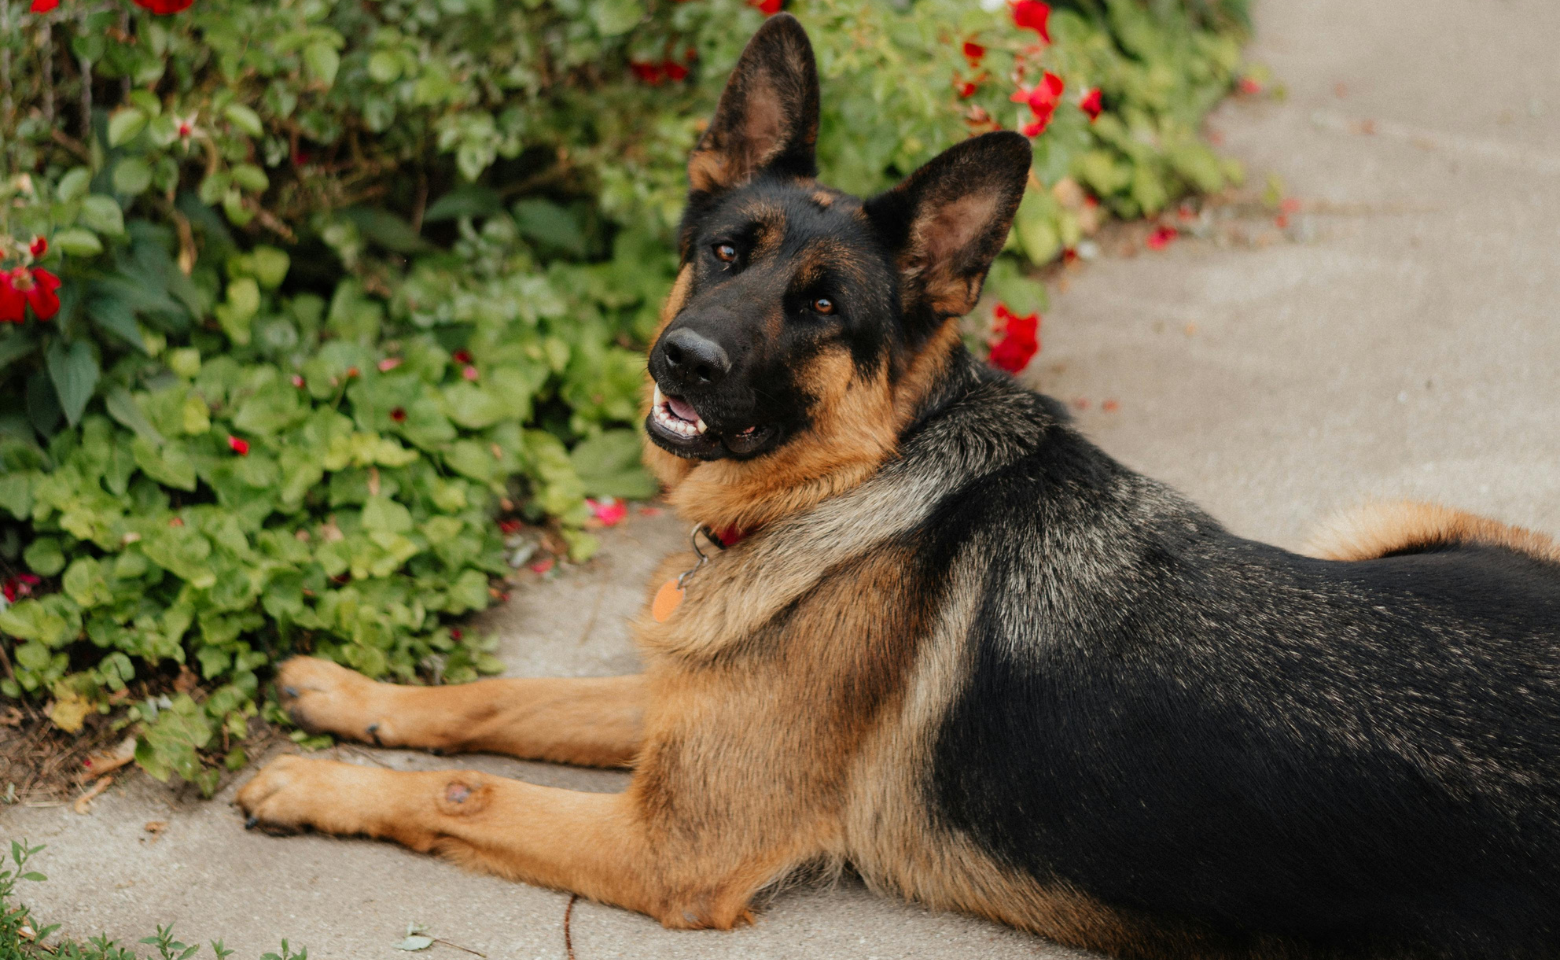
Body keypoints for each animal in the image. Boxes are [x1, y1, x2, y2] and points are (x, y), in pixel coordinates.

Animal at [233, 15, 1560, 960]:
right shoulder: (678, 710)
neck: (852, 488)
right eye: (726, 253)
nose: (682, 361)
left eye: (823, 307)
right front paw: (349, 694)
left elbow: (462, 790)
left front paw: (312, 781)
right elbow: (503, 698)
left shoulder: (670, 845)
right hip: (1378, 522)